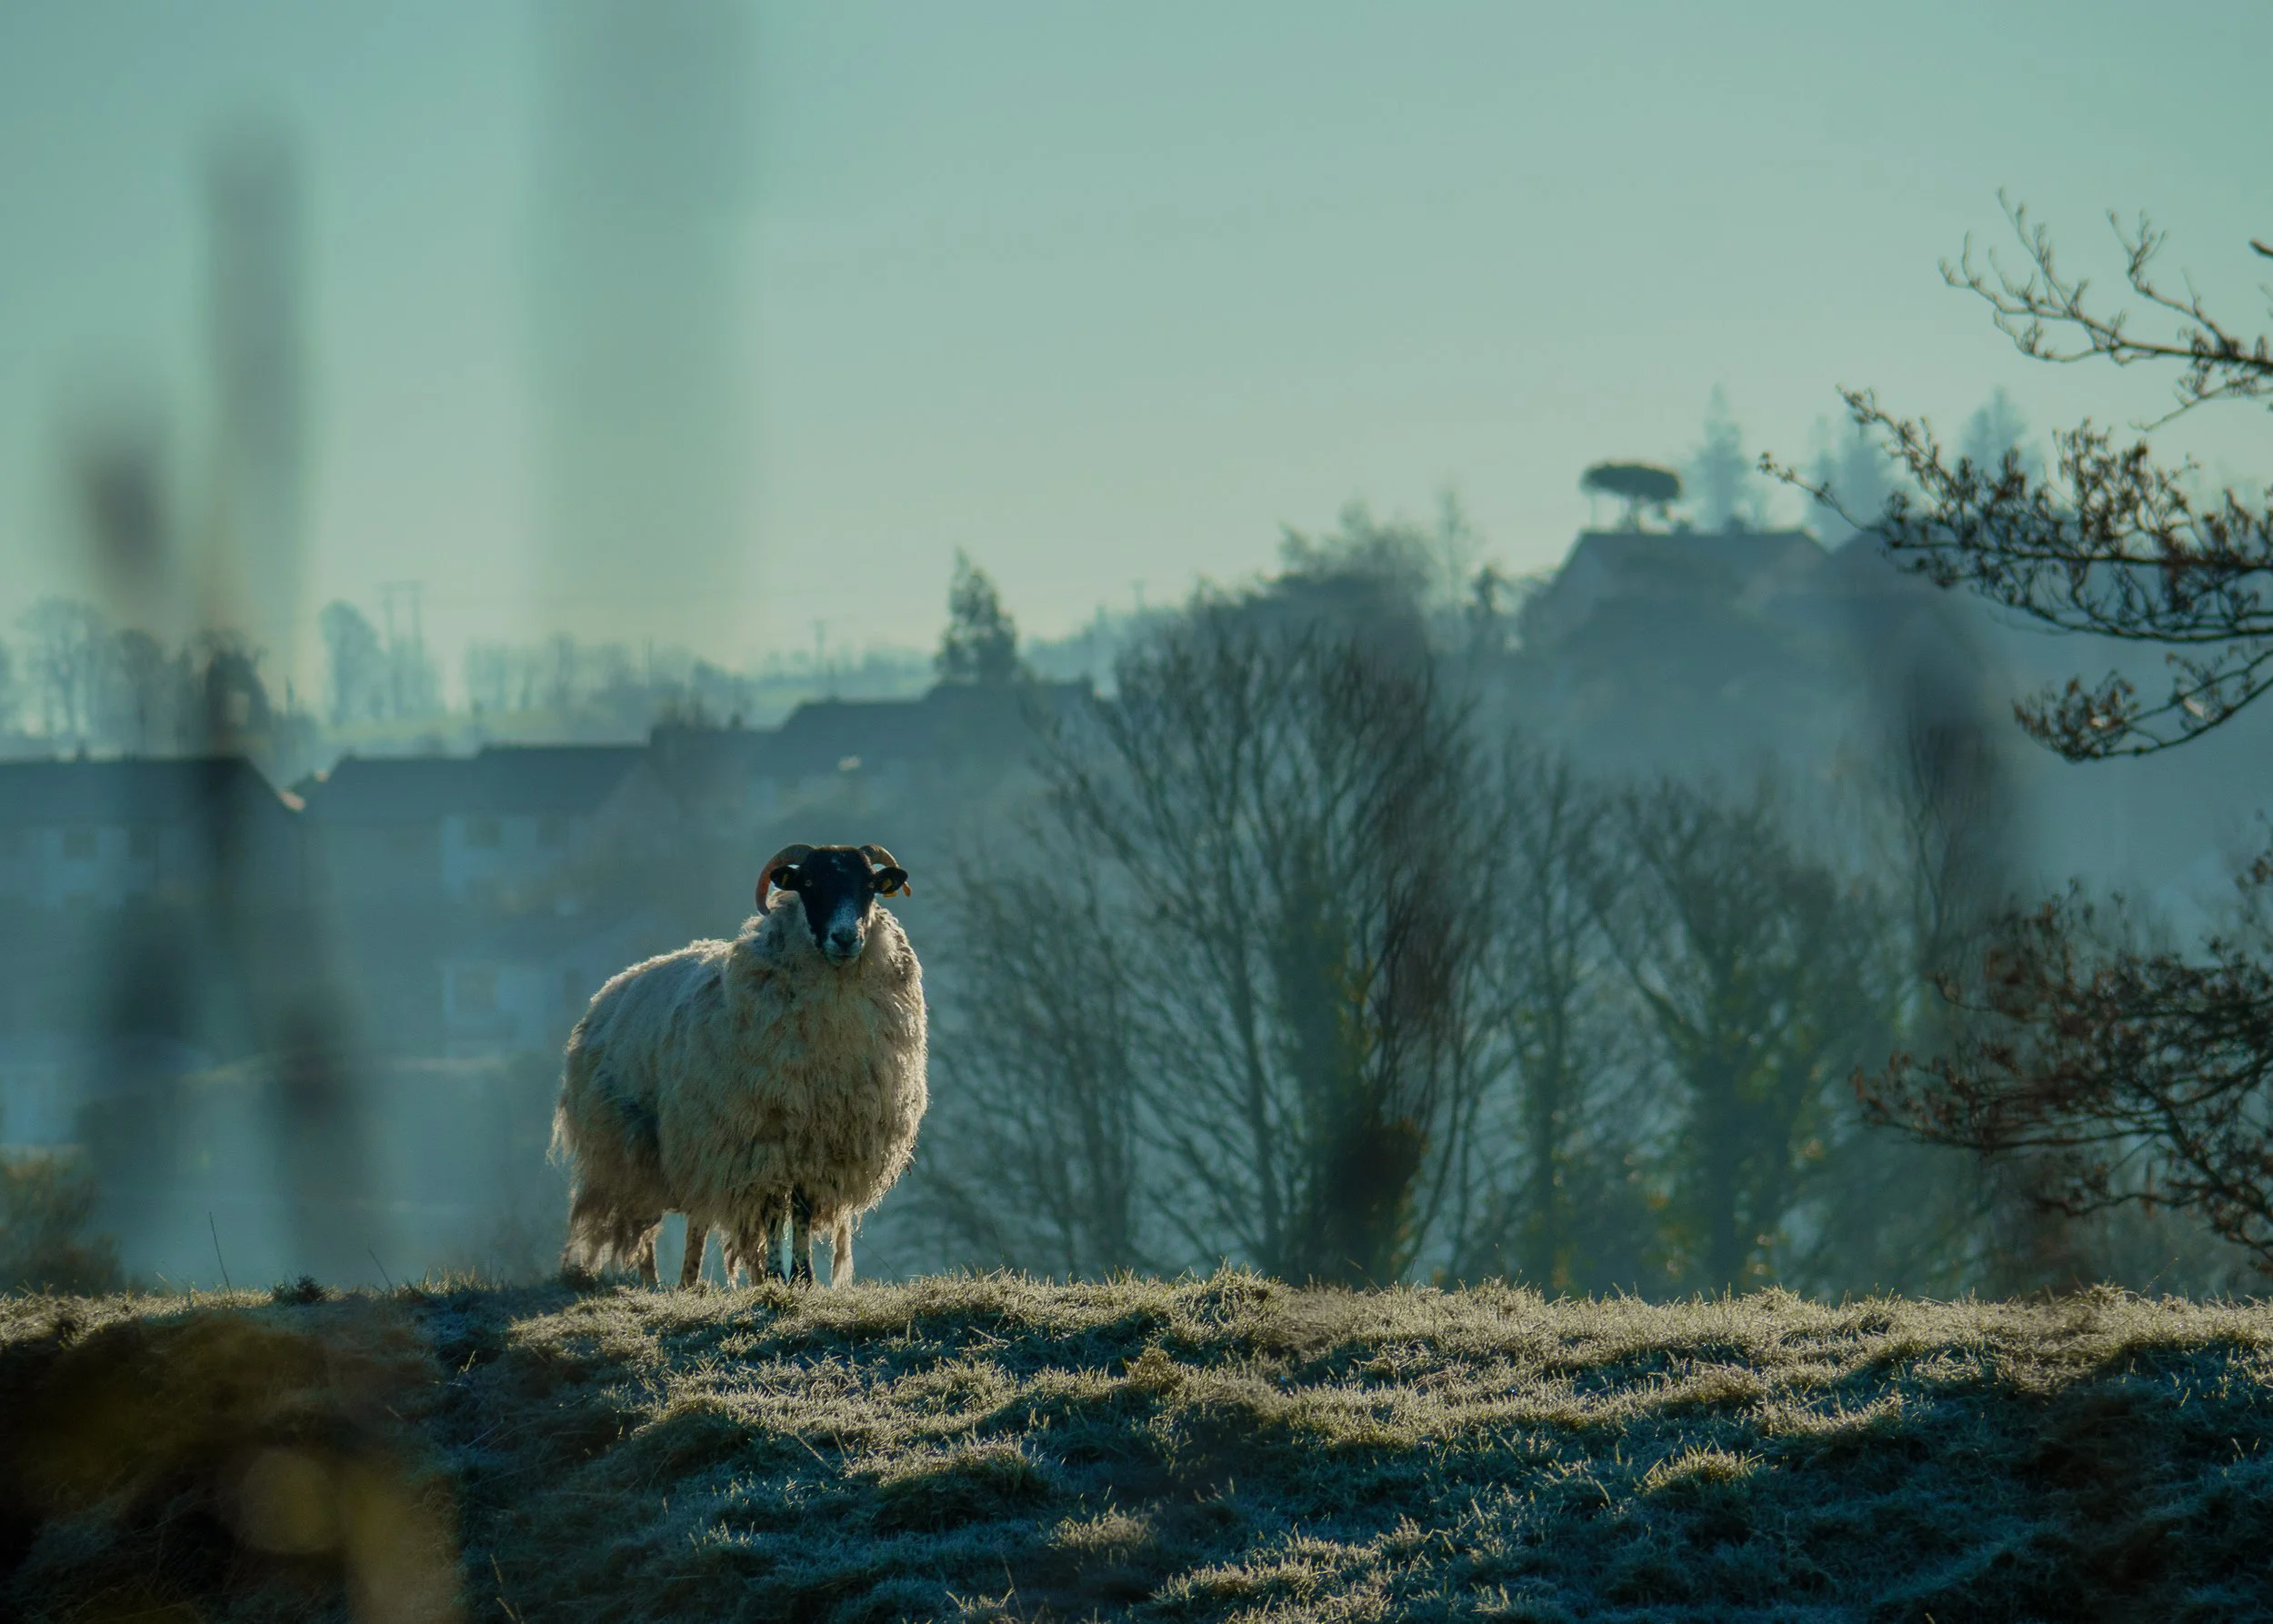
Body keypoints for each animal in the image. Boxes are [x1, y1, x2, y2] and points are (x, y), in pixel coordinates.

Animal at [552, 841, 926, 1288]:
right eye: (809, 883)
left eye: (869, 886)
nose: (845, 937)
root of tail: (616, 986)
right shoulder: (761, 1139)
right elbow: (774, 1209)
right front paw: (776, 1274)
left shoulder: (815, 1141)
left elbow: (800, 1208)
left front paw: (803, 1277)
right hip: (639, 1143)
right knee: (648, 1222)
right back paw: (655, 1283)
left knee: (694, 1220)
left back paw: (689, 1283)